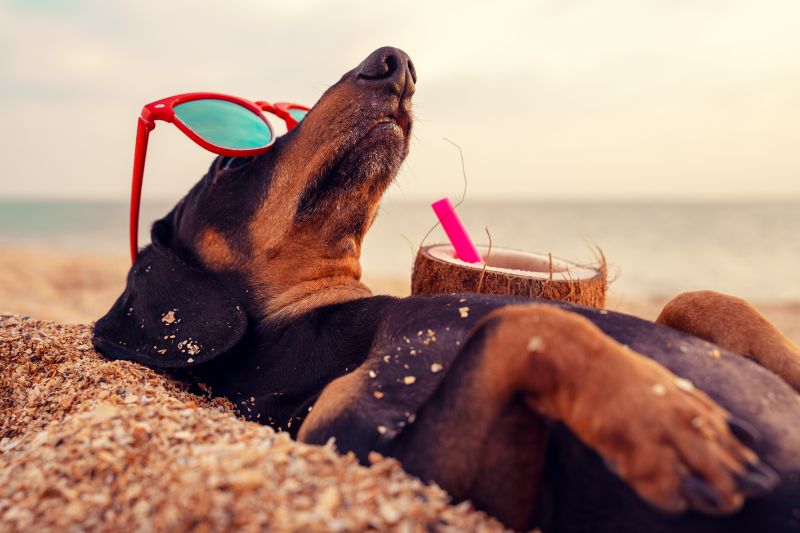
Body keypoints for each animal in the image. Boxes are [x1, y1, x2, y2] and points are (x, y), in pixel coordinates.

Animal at [95, 47, 800, 528]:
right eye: (226, 162)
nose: (394, 62)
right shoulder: (409, 467)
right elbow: (516, 323)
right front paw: (674, 421)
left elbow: (700, 299)